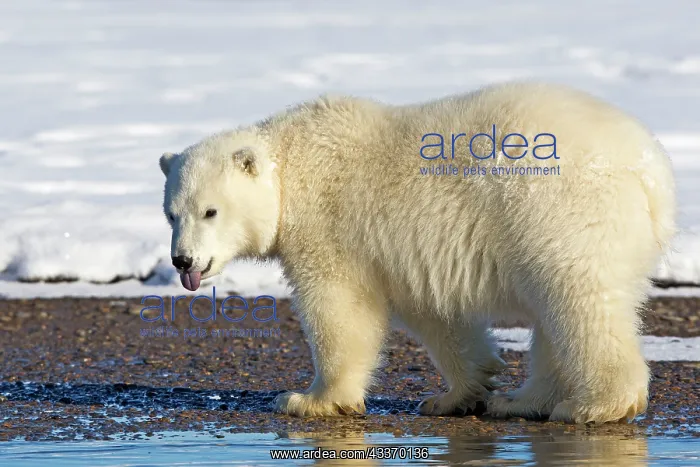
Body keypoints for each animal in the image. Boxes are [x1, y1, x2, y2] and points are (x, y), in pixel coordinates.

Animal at [159, 82, 676, 424]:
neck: (293, 166)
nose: (183, 261)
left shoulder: (330, 228)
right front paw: (459, 394)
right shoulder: (405, 251)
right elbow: (436, 314)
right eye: (171, 214)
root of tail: (651, 170)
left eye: (210, 211)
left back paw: (593, 405)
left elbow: (339, 309)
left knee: (579, 300)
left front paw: (308, 399)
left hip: (558, 212)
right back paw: (521, 400)